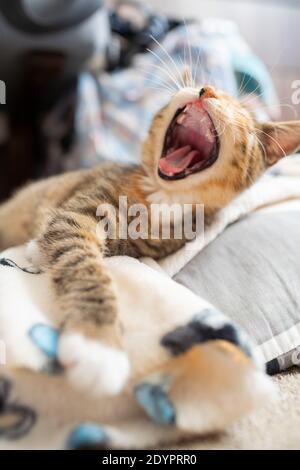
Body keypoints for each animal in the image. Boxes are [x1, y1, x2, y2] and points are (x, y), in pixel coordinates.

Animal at [0, 84, 300, 392]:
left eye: (236, 108)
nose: (206, 89)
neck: (163, 196)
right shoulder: (78, 209)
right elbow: (84, 263)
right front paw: (98, 343)